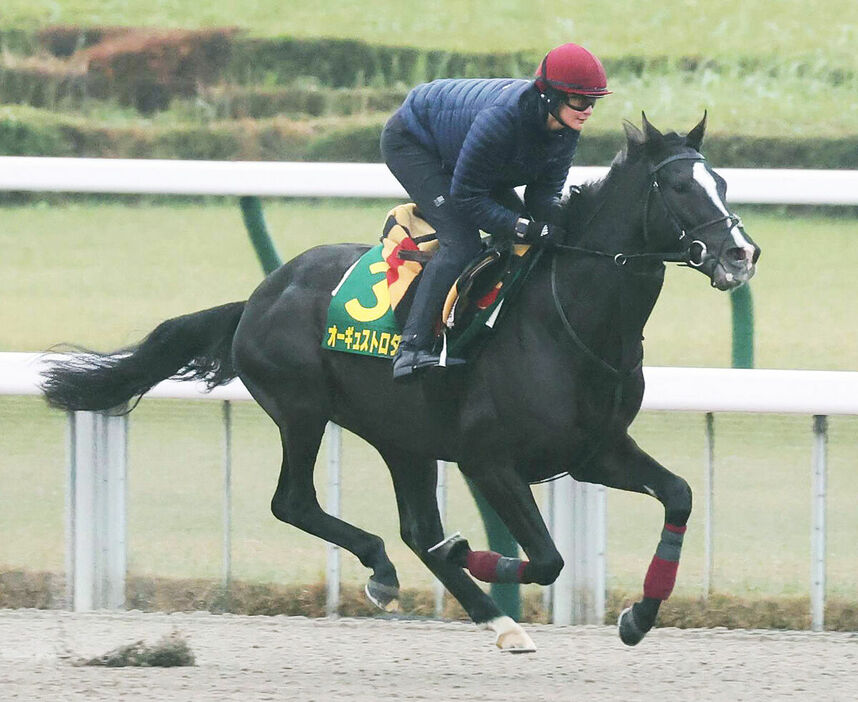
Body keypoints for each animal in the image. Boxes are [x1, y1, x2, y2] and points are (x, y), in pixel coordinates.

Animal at [43, 114, 760, 656]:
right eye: (678, 185)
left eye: (722, 181)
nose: (740, 254)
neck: (572, 321)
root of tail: (257, 297)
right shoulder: (488, 460)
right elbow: (547, 558)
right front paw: (470, 551)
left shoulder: (593, 452)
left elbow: (678, 494)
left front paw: (638, 616)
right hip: (303, 409)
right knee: (295, 502)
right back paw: (388, 571)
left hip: (403, 436)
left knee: (414, 526)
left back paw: (496, 621)